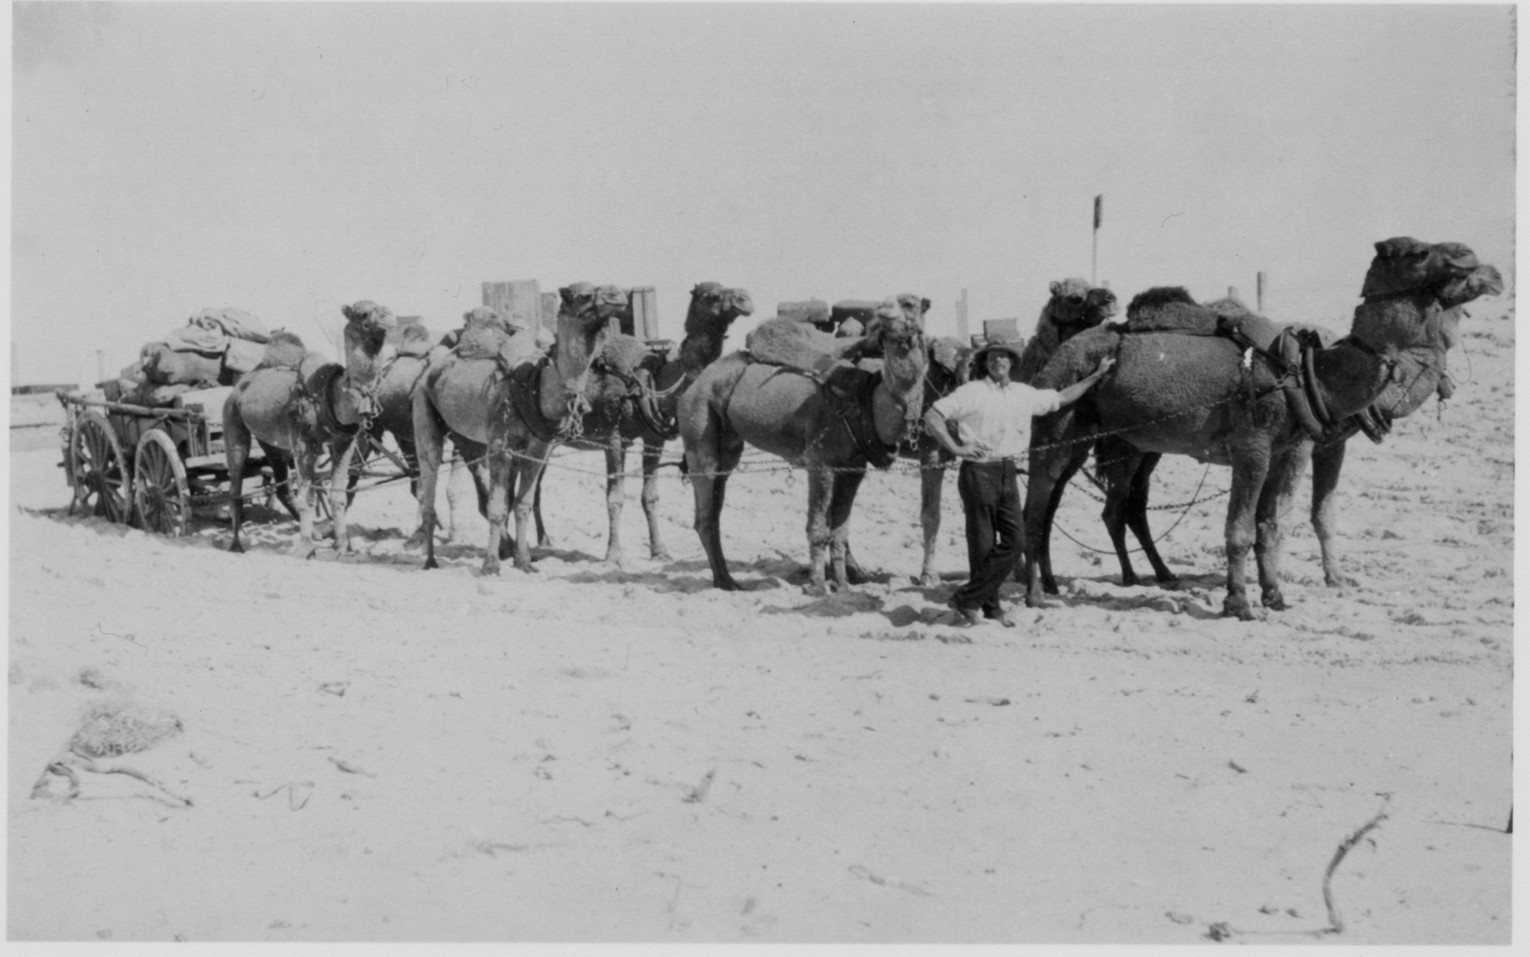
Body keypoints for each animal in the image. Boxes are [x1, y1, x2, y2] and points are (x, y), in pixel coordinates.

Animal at [224, 297, 397, 551]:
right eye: (362, 314)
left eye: (384, 309)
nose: (388, 319)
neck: (331, 394)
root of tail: (239, 386)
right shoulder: (304, 442)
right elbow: (306, 496)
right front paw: (306, 546)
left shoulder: (344, 441)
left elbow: (337, 494)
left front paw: (342, 544)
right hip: (232, 419)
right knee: (235, 485)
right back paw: (236, 544)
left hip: (271, 441)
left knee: (282, 486)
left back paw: (316, 533)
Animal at [413, 283, 627, 575]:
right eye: (583, 295)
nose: (618, 295)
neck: (539, 386)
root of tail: (430, 367)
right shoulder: (500, 446)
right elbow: (498, 507)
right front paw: (490, 565)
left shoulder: (539, 448)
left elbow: (522, 503)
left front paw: (524, 561)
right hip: (423, 407)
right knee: (430, 472)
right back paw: (430, 560)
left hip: (466, 436)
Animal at [556, 283, 758, 566]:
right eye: (712, 296)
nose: (745, 299)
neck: (652, 379)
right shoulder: (614, 438)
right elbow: (615, 498)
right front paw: (614, 554)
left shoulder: (654, 439)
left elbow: (649, 497)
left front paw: (660, 550)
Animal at [685, 295, 924, 594]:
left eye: (911, 304)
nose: (885, 311)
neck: (867, 400)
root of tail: (697, 382)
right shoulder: (820, 463)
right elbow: (818, 528)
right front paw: (818, 586)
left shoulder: (854, 470)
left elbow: (840, 531)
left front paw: (843, 587)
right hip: (699, 423)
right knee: (705, 516)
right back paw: (727, 581)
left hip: (727, 444)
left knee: (715, 508)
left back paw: (725, 579)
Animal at [1022, 235, 1499, 615]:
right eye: (1418, 253)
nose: (1486, 266)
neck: (1314, 373)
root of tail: (1056, 356)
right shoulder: (1253, 447)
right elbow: (1243, 528)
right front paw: (1239, 603)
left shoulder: (1287, 449)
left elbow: (1271, 525)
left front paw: (1276, 595)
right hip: (1059, 422)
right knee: (1039, 504)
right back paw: (1035, 593)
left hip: (1108, 440)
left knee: (1089, 503)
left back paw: (1100, 579)